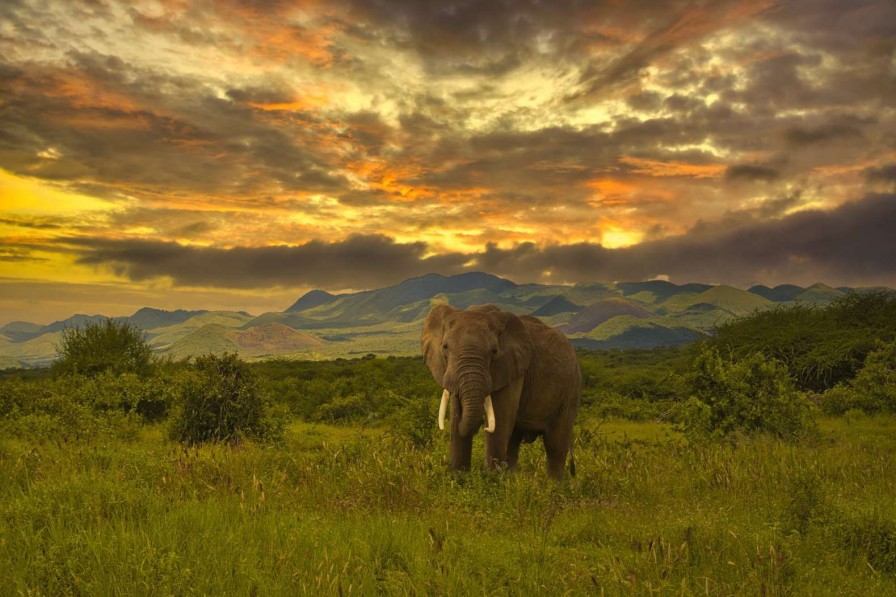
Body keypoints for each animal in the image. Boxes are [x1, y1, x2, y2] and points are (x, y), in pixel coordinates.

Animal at [422, 302, 580, 480]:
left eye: (494, 351)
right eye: (445, 347)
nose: (481, 424)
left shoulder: (513, 368)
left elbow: (500, 420)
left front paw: (490, 481)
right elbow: (457, 418)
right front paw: (459, 479)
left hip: (570, 391)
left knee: (555, 446)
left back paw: (552, 485)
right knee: (514, 442)